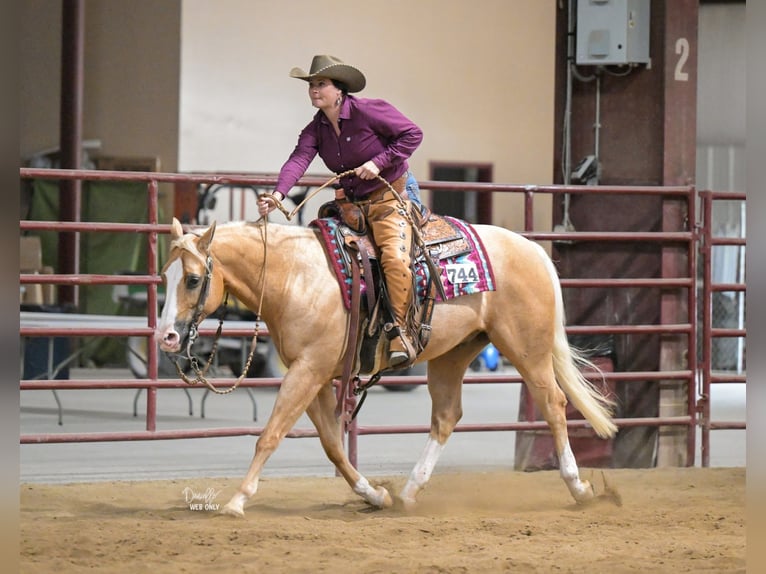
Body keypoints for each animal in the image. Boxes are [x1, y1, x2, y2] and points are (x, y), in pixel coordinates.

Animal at [158, 218, 616, 520]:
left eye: (194, 279)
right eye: (165, 276)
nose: (167, 337)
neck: (295, 277)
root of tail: (533, 249)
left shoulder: (308, 370)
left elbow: (269, 435)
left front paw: (237, 500)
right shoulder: (314, 374)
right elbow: (332, 444)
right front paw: (375, 494)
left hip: (527, 348)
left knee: (553, 404)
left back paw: (579, 487)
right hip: (453, 354)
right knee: (446, 417)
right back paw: (409, 493)